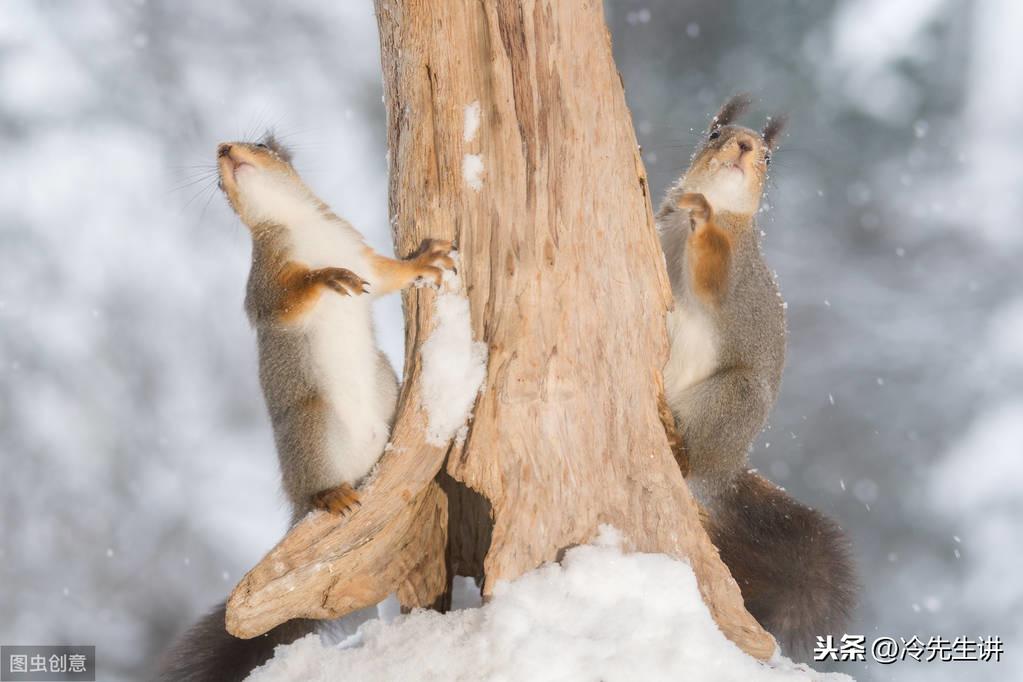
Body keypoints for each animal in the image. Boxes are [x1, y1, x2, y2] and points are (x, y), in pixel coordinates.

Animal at [155, 135, 452, 678]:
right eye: (218, 182)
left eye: (260, 144)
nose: (224, 148)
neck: (299, 223)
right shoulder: (265, 283)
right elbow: (289, 299)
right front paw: (327, 278)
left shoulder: (360, 251)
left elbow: (387, 276)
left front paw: (426, 262)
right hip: (311, 426)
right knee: (317, 485)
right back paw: (330, 496)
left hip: (384, 387)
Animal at [654, 96, 855, 654]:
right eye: (714, 132)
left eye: (768, 156)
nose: (744, 146)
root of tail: (731, 465)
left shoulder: (734, 272)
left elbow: (712, 275)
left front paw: (702, 217)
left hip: (734, 398)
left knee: (693, 464)